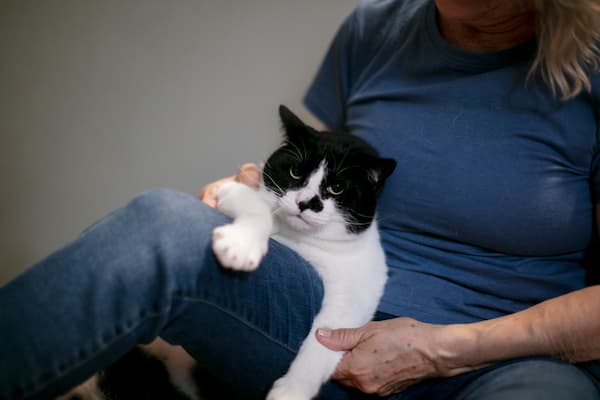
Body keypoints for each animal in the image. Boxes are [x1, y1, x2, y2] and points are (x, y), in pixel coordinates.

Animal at [213, 104, 396, 398]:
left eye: (337, 187)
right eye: (296, 173)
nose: (305, 202)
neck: (299, 239)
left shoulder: (358, 291)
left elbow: (326, 337)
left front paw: (292, 390)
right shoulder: (233, 190)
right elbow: (257, 206)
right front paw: (240, 245)